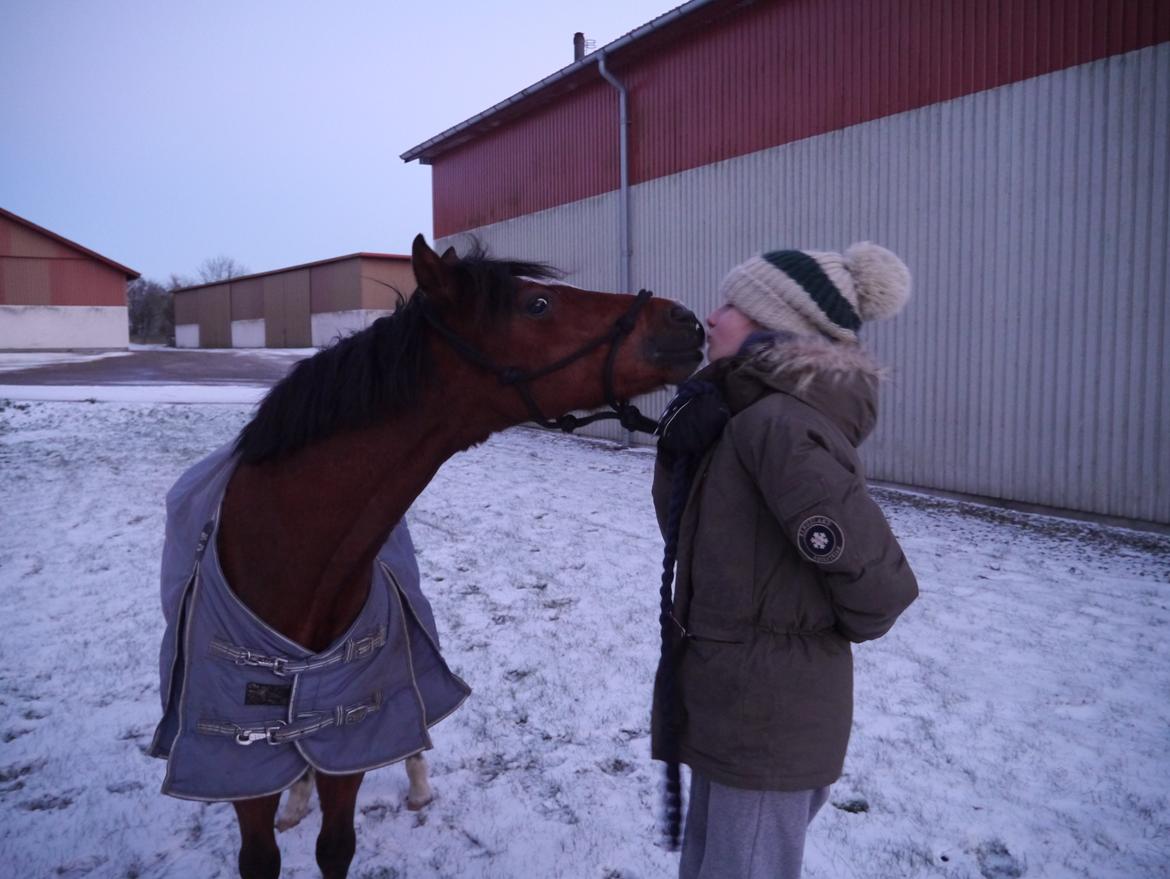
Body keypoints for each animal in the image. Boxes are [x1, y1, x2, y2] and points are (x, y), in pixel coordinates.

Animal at [155, 235, 704, 879]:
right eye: (537, 304)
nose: (686, 320)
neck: (286, 558)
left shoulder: (355, 734)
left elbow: (337, 843)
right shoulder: (239, 767)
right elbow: (262, 852)